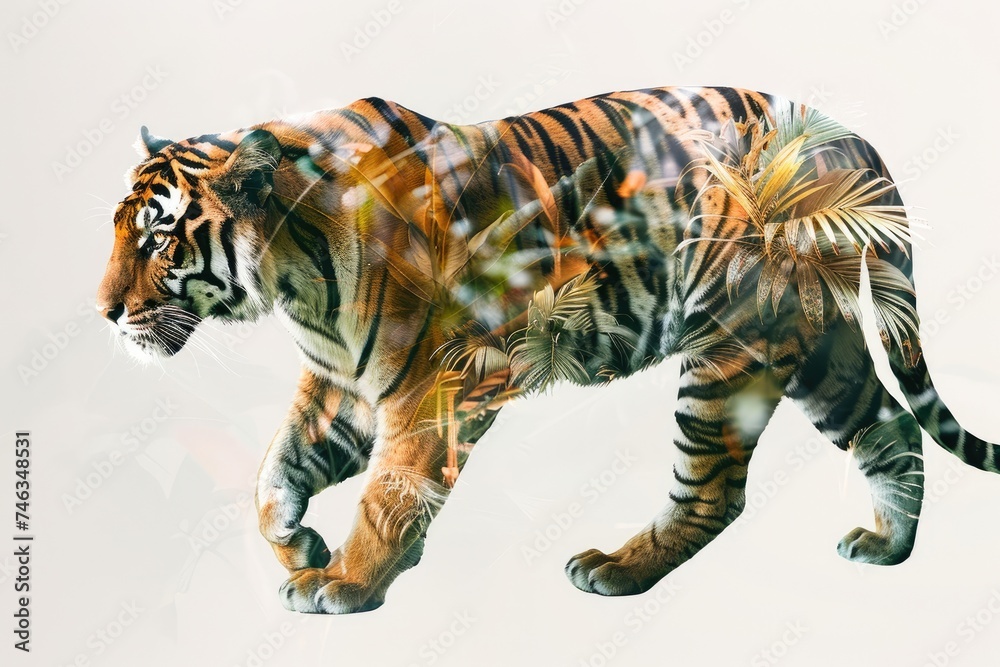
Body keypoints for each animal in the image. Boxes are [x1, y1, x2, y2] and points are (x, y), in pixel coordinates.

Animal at [96, 86, 999, 614]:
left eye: (159, 237)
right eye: (119, 229)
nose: (104, 312)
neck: (295, 272)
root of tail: (843, 137)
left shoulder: (432, 383)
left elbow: (390, 490)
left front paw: (346, 580)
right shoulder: (343, 385)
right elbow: (271, 473)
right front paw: (299, 543)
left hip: (729, 345)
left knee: (715, 491)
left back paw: (617, 569)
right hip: (816, 343)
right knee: (891, 426)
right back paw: (886, 546)